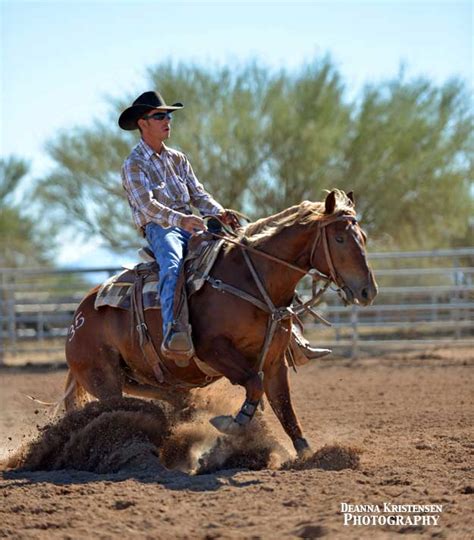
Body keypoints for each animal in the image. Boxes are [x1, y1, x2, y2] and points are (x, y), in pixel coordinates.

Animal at [65, 189, 378, 456]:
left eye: (362, 236)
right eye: (339, 239)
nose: (368, 291)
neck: (251, 280)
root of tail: (77, 319)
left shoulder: (274, 361)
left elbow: (284, 406)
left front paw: (307, 454)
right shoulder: (213, 350)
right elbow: (253, 383)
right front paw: (234, 422)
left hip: (141, 378)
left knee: (170, 399)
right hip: (104, 379)